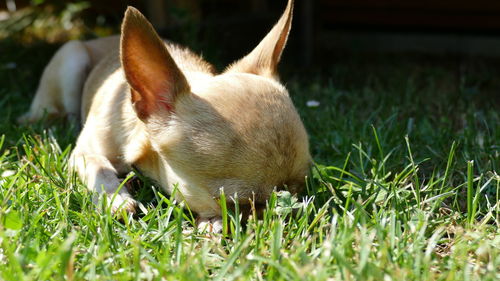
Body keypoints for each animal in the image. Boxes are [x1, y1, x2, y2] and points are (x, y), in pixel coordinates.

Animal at [21, 0, 310, 231]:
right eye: (239, 204)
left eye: (301, 189)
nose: (286, 217)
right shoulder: (82, 153)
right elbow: (98, 166)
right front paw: (117, 199)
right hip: (72, 57)